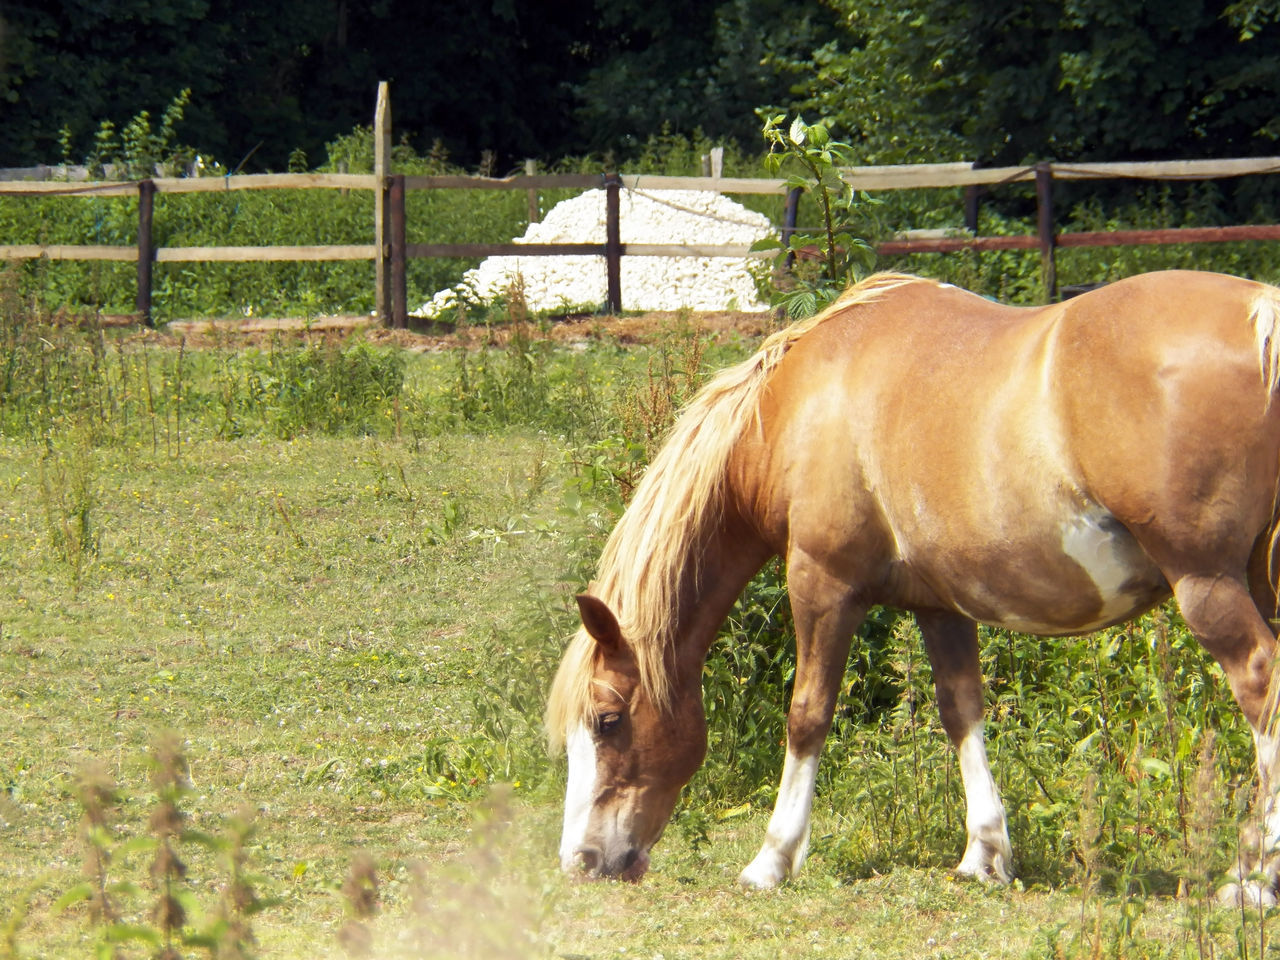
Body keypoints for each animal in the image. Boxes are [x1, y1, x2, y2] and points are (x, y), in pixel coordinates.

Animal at [545, 268, 1280, 901]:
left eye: (607, 720)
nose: (580, 861)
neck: (794, 409)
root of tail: (1260, 316)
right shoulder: (940, 603)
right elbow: (962, 710)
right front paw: (985, 853)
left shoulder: (822, 584)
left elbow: (807, 716)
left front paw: (772, 859)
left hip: (1206, 583)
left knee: (1262, 683)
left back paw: (1252, 878)